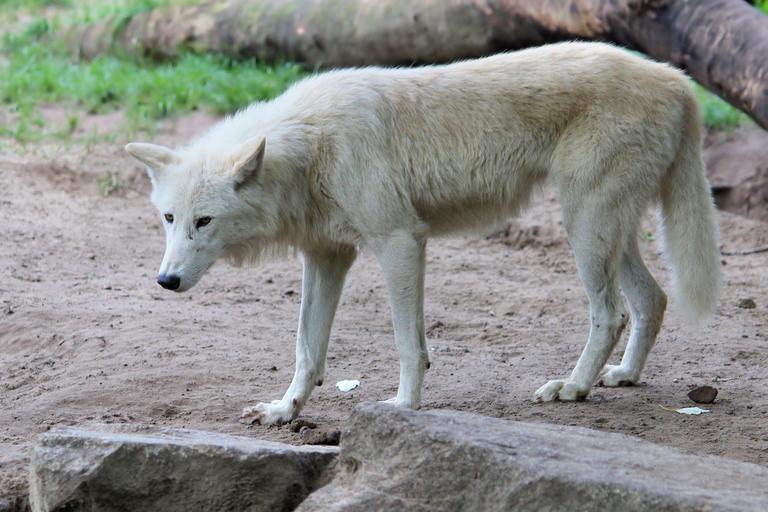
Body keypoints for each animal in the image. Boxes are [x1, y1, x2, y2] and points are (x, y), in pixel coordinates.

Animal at [125, 42, 721, 425]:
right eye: (170, 219)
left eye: (205, 221)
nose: (166, 281)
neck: (310, 147)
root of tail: (678, 80)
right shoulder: (326, 256)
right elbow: (306, 351)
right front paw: (283, 411)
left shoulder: (400, 242)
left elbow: (408, 344)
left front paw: (403, 408)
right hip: (605, 231)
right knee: (653, 299)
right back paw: (623, 376)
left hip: (586, 227)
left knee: (612, 312)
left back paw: (573, 388)